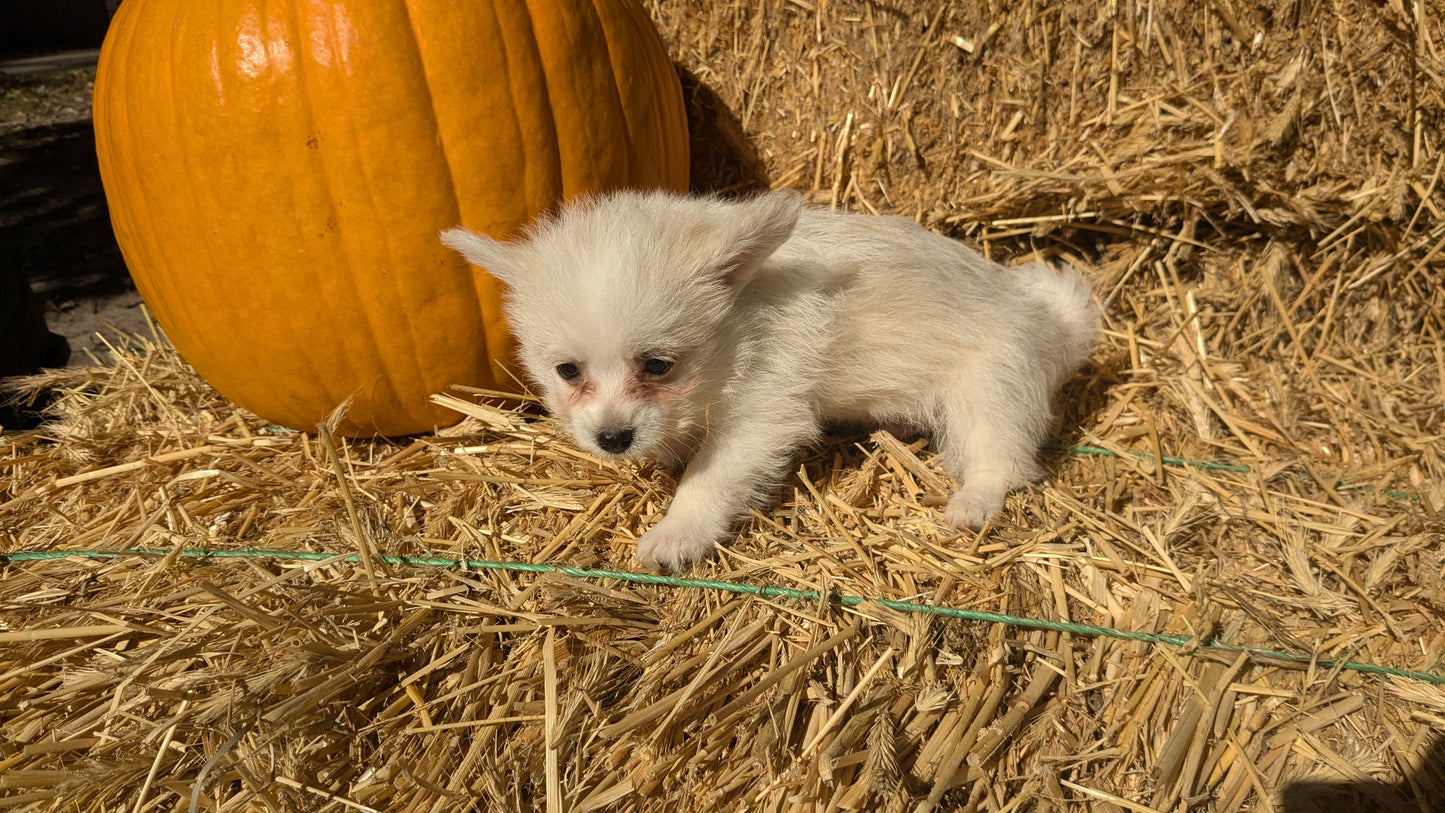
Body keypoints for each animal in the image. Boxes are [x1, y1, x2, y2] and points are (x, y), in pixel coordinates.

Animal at [439, 190, 1092, 571]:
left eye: (658, 365)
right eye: (568, 371)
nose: (613, 440)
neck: (738, 321)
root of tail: (1052, 323)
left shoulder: (760, 419)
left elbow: (705, 482)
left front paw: (675, 535)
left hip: (987, 390)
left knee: (1000, 459)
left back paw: (973, 504)